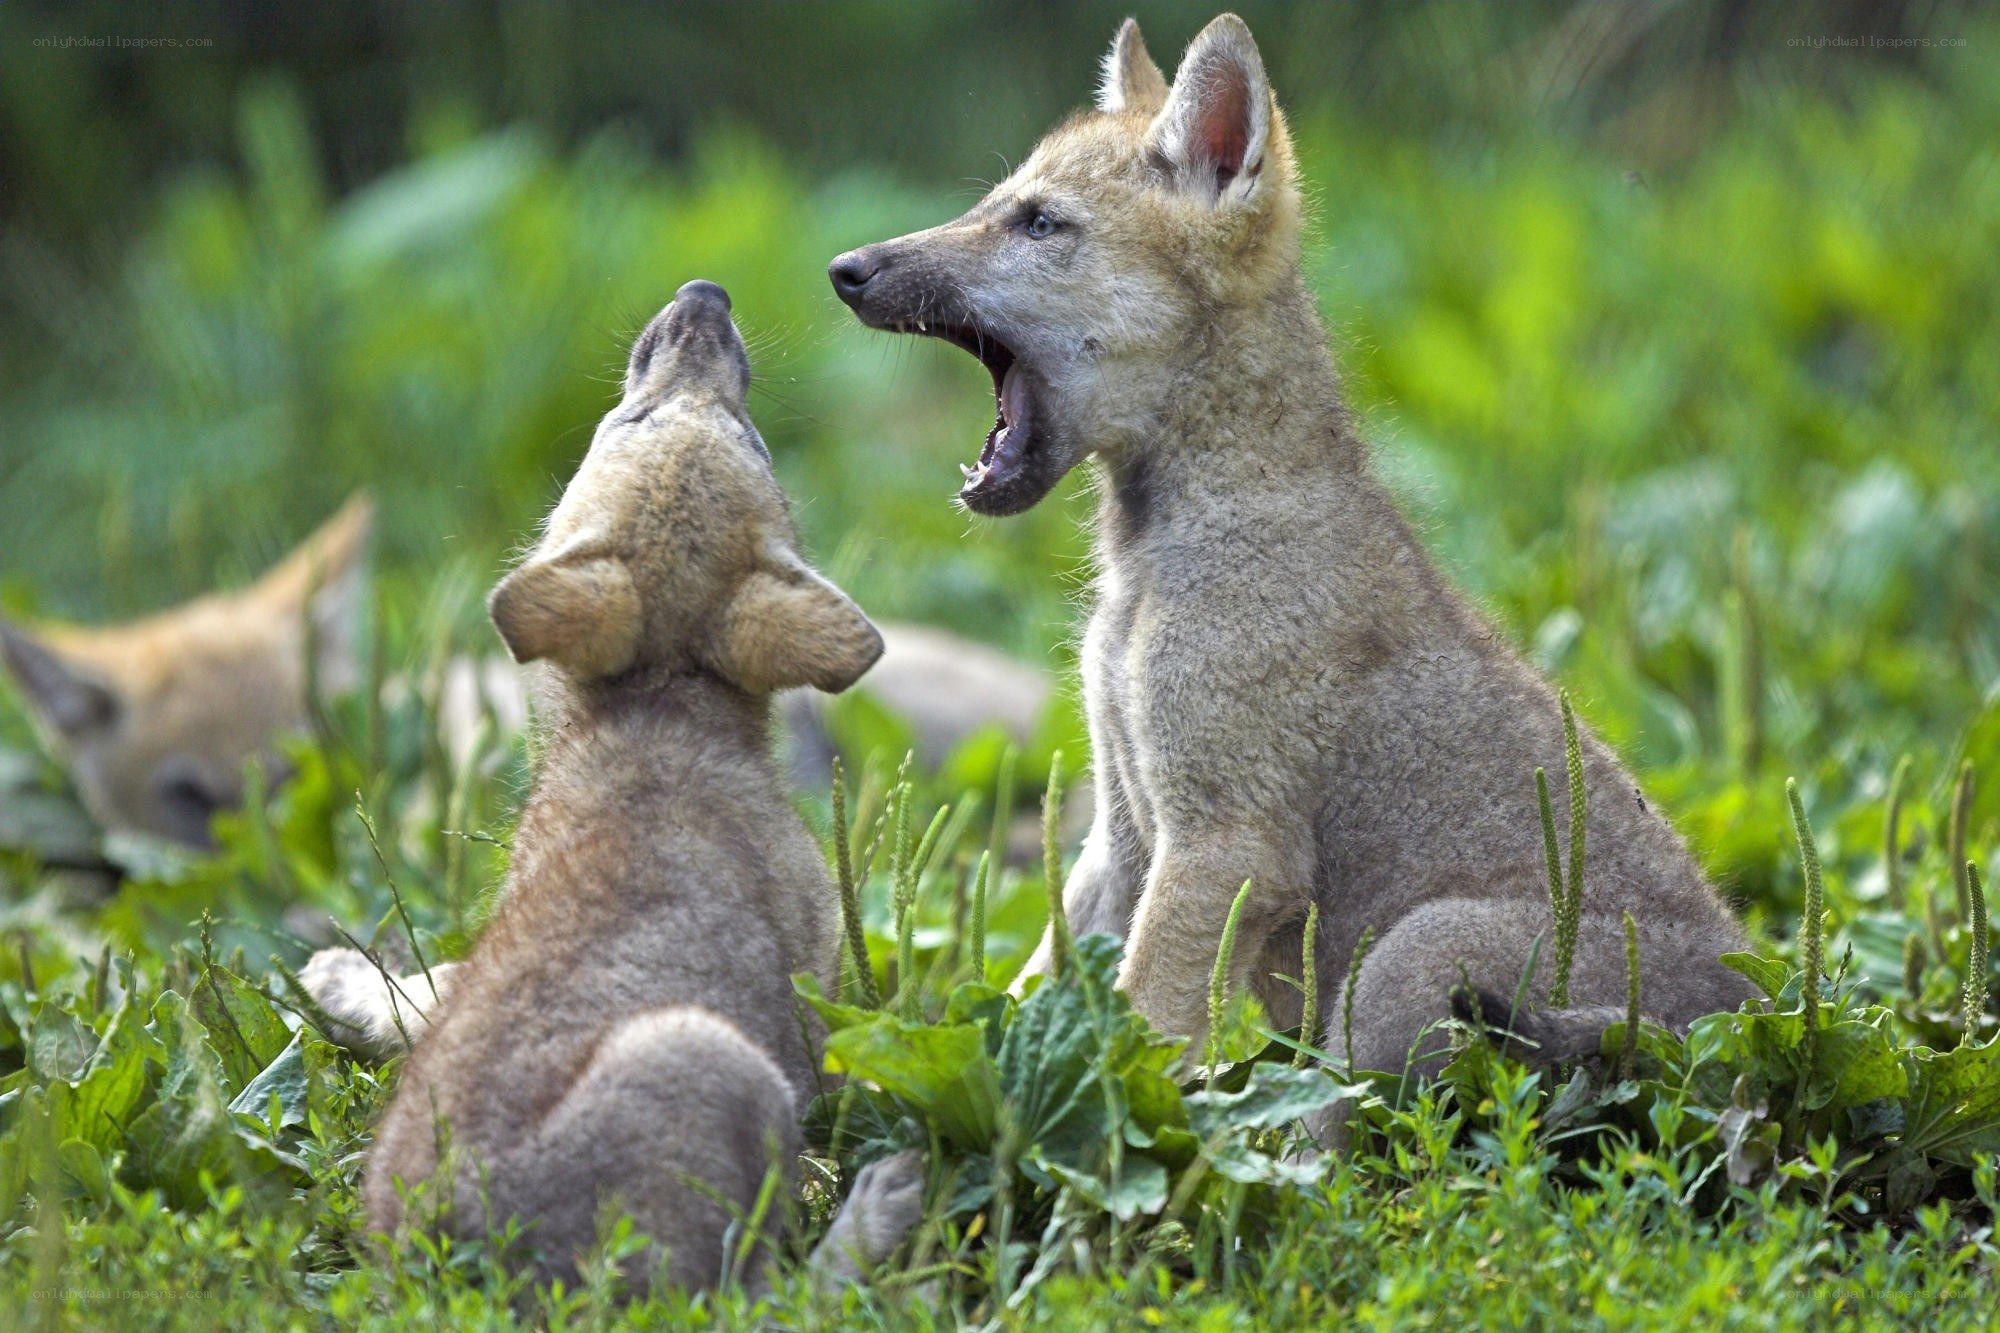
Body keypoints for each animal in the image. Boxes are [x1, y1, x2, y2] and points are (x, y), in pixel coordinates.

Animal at [330, 281, 920, 1292]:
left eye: (746, 433)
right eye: (631, 419)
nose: (704, 296)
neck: (661, 696)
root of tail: (464, 1258)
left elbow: (430, 987)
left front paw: (341, 981)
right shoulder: (819, 988)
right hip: (716, 1070)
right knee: (771, 1292)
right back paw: (880, 1210)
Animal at [829, 15, 1755, 1115]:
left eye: (1039, 223)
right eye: (997, 202)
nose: (844, 267)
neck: (1151, 567)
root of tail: (1748, 1018)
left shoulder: (1225, 845)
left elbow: (1137, 1033)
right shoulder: (1122, 834)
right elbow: (1033, 992)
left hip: (1408, 956)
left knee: (1353, 1115)